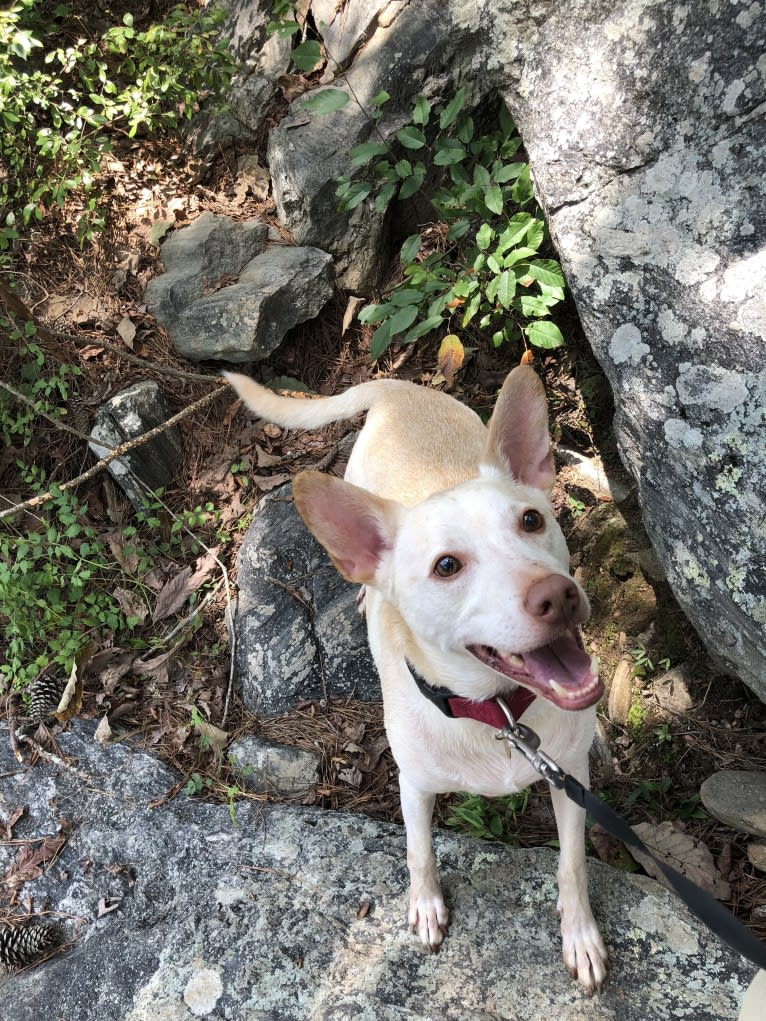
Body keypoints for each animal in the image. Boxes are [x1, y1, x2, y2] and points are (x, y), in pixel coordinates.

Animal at [224, 365, 608, 988]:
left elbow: (572, 863)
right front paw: (425, 905)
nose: (559, 595)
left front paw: (579, 934)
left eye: (531, 520)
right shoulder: (414, 786)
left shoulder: (570, 777)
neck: (495, 714)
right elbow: (419, 849)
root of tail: (398, 386)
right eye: (446, 566)